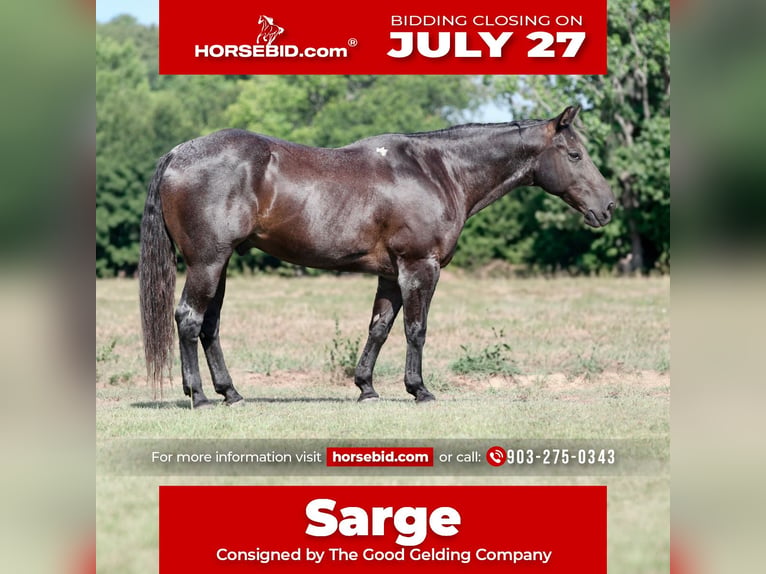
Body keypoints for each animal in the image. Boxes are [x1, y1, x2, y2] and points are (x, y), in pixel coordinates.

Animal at [139, 105, 615, 408]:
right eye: (575, 154)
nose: (608, 206)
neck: (437, 170)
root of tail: (179, 153)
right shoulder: (419, 267)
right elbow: (416, 330)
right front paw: (419, 389)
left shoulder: (391, 274)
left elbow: (379, 328)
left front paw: (366, 387)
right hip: (207, 262)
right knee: (189, 319)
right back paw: (200, 396)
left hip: (220, 265)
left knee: (210, 326)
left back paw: (231, 393)